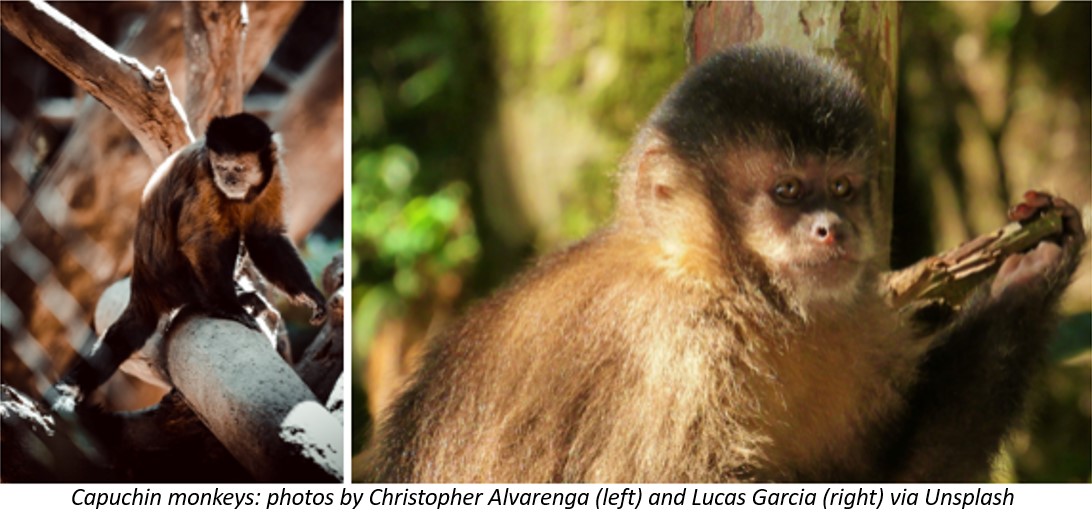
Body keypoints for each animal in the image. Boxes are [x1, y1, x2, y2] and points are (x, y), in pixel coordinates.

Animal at [48, 113, 327, 413]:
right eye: (221, 168)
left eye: (238, 168)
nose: (228, 180)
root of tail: (143, 287)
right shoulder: (206, 182)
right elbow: (200, 242)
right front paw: (230, 307)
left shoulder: (273, 176)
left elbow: (265, 238)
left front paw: (311, 295)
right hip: (180, 282)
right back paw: (230, 299)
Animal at [363, 46, 1086, 482]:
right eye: (788, 191)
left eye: (843, 187)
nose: (833, 228)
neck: (733, 292)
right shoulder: (669, 349)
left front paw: (1032, 274)